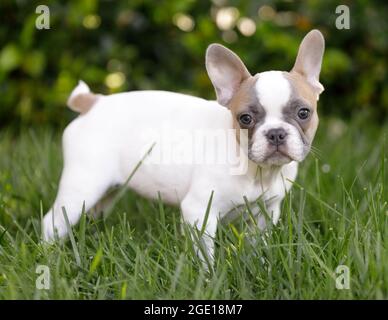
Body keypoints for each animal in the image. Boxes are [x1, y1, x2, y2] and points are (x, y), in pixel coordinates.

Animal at [42, 30, 324, 264]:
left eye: (303, 113)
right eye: (245, 119)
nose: (276, 133)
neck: (256, 171)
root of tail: (92, 102)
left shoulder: (266, 213)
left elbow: (258, 245)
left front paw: (260, 266)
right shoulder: (199, 211)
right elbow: (204, 254)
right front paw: (209, 277)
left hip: (106, 190)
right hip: (83, 184)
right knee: (53, 221)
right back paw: (50, 256)